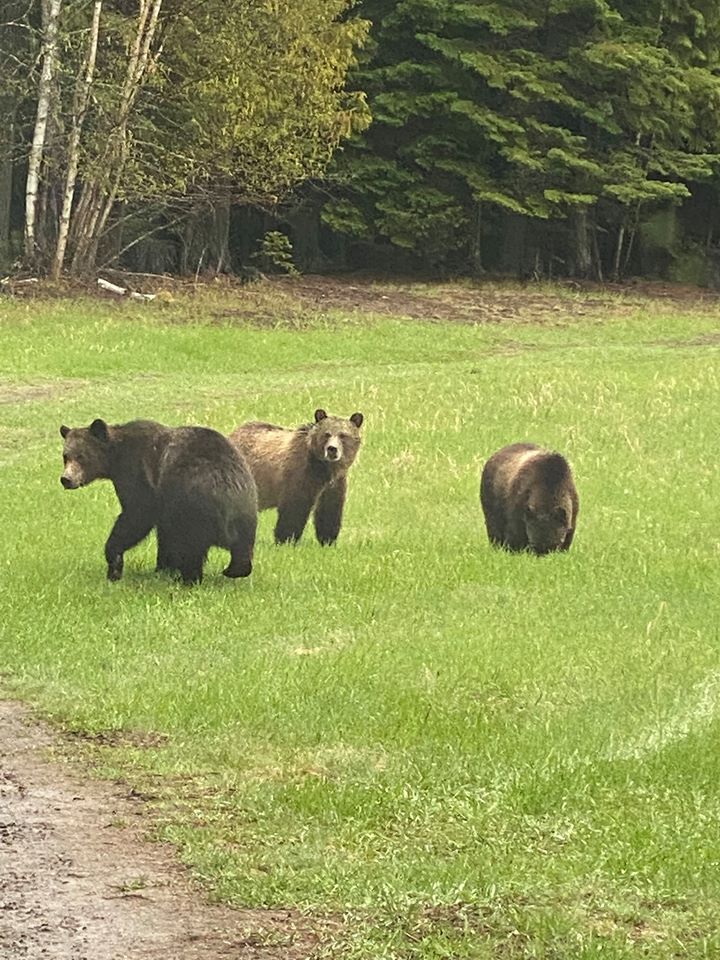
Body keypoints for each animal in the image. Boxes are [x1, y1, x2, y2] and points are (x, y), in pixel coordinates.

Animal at [60, 418, 258, 584]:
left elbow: (136, 517)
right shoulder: (163, 504)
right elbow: (163, 534)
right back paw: (233, 569)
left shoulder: (139, 477)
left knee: (190, 545)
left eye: (81, 456)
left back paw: (189, 578)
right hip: (246, 508)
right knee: (242, 546)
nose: (66, 479)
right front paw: (163, 568)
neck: (115, 459)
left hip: (193, 504)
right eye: (65, 456)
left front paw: (114, 562)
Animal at [228, 408, 363, 546]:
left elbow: (329, 511)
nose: (332, 449)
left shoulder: (334, 484)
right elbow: (294, 509)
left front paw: (328, 540)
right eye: (327, 434)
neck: (324, 470)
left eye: (343, 435)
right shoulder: (299, 475)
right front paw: (286, 540)